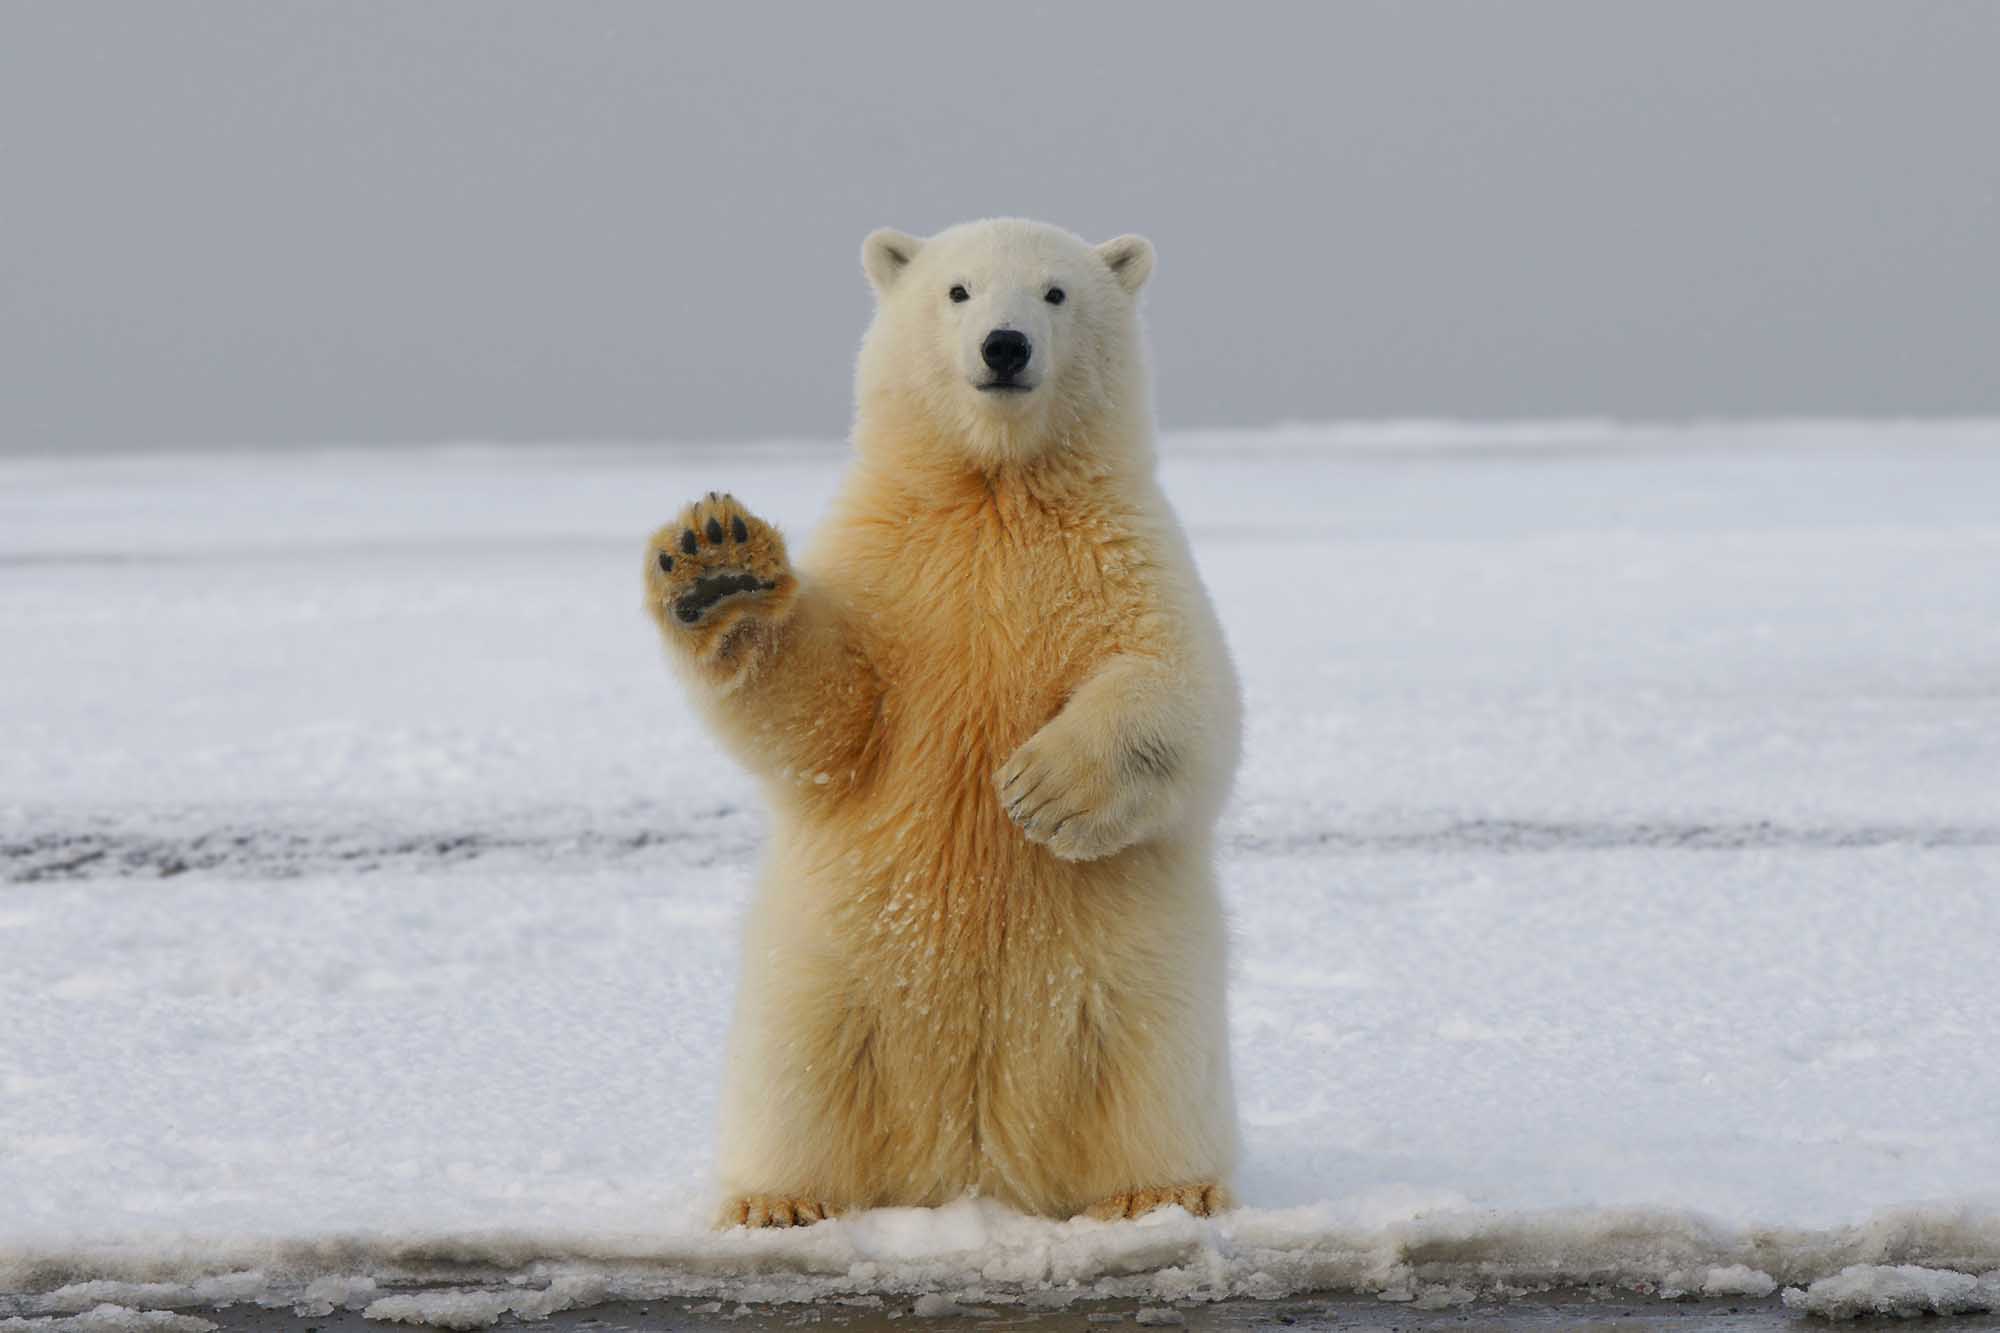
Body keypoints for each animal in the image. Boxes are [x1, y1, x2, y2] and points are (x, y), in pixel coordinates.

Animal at [644, 218, 1232, 1224]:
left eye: (1055, 292)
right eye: (958, 291)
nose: (1005, 346)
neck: (993, 489)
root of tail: (972, 1165)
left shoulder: (1125, 554)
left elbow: (1183, 691)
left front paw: (1040, 788)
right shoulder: (893, 566)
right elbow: (830, 715)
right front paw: (717, 565)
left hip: (1138, 976)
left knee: (1151, 1069)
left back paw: (1162, 1191)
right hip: (824, 974)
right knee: (796, 1074)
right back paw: (778, 1200)